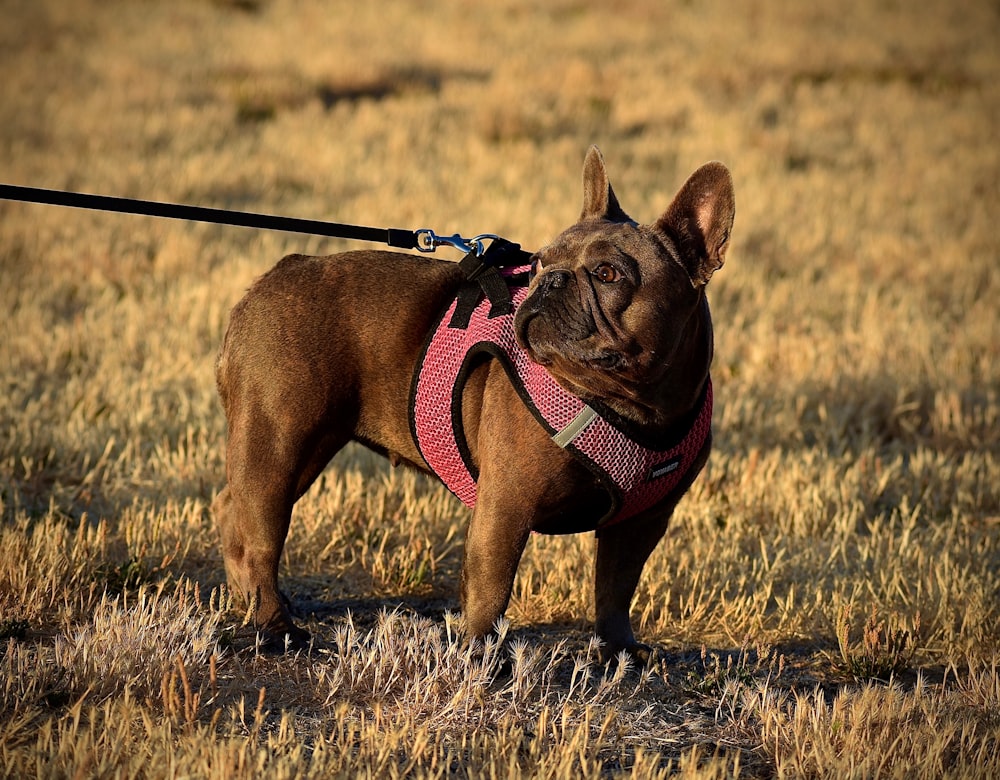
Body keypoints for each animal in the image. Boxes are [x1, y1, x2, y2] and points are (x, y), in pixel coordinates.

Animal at [213, 146, 736, 660]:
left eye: (608, 274)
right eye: (541, 263)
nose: (552, 280)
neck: (633, 404)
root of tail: (273, 277)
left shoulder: (642, 522)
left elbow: (616, 587)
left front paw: (618, 651)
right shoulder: (506, 504)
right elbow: (492, 584)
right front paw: (482, 654)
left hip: (309, 445)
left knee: (231, 512)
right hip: (279, 442)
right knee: (259, 536)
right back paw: (275, 626)